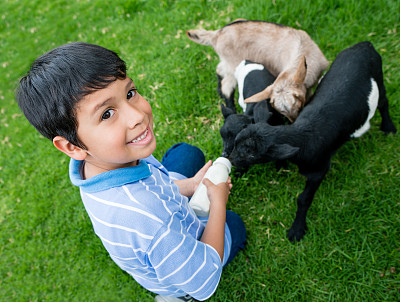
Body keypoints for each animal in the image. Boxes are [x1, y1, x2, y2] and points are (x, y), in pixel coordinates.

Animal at [187, 19, 328, 121]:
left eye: (299, 106)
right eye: (281, 112)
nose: (294, 122)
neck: (302, 52)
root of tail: (216, 35)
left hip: (227, 61)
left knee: (220, 69)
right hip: (233, 64)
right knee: (226, 84)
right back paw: (231, 109)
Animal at [228, 42, 396, 241]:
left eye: (251, 154)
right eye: (236, 142)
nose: (231, 160)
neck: (304, 136)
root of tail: (364, 45)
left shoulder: (319, 169)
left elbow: (303, 198)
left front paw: (297, 230)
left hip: (379, 78)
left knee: (384, 102)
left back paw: (389, 128)